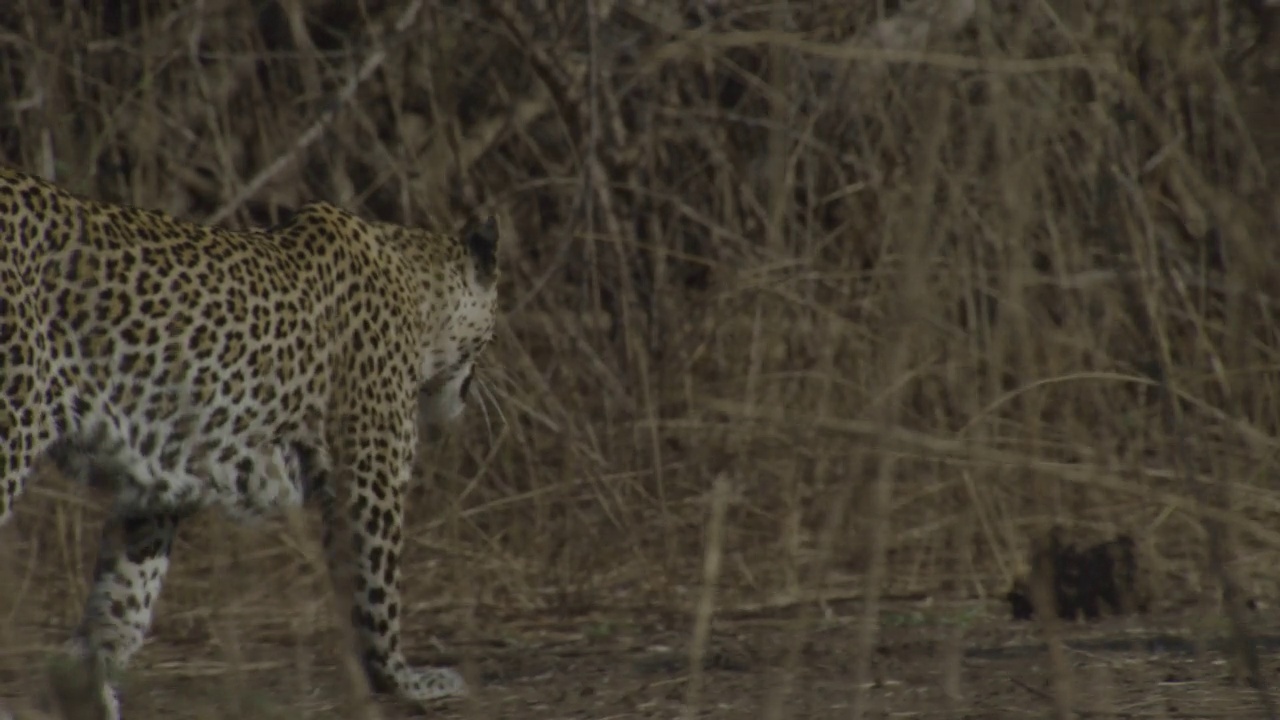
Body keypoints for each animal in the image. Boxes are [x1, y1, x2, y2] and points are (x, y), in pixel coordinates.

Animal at [0, 165, 499, 712]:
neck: (421, 294)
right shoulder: (371, 473)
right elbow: (376, 595)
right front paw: (410, 682)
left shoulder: (155, 489)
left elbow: (123, 602)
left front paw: (86, 689)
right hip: (13, 421)